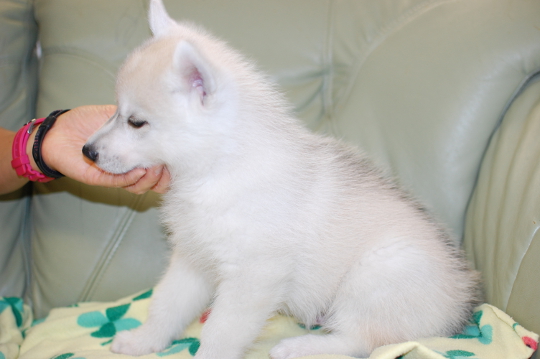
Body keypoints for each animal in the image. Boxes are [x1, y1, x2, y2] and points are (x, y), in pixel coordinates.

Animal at [83, 1, 480, 358]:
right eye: (116, 111)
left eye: (136, 122)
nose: (87, 151)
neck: (218, 170)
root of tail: (464, 300)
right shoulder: (193, 259)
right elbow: (167, 304)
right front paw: (143, 341)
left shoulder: (253, 275)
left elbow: (221, 331)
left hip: (378, 275)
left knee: (361, 341)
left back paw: (301, 347)